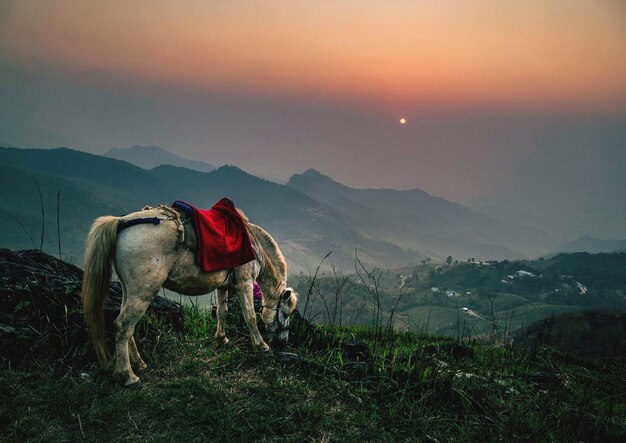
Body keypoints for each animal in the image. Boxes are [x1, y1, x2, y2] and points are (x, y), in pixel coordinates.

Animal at [80, 203, 298, 386]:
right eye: (286, 314)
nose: (283, 343)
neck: (254, 245)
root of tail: (121, 223)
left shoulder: (222, 286)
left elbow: (222, 312)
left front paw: (221, 339)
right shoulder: (244, 283)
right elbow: (250, 317)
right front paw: (261, 345)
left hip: (129, 291)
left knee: (127, 327)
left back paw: (139, 363)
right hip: (142, 294)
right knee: (123, 326)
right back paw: (127, 375)